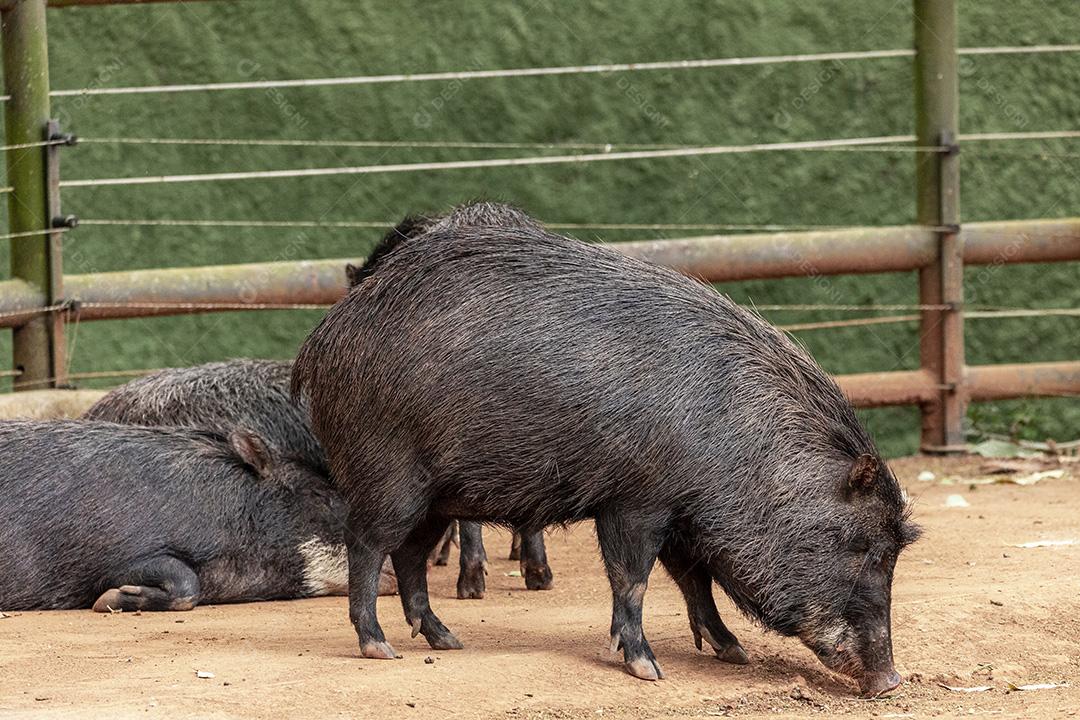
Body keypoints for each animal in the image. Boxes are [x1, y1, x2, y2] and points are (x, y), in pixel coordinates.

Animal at [293, 201, 920, 699]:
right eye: (867, 548)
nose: (891, 682)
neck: (735, 444)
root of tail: (320, 344)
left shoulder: (685, 518)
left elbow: (695, 582)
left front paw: (733, 652)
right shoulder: (637, 501)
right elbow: (633, 579)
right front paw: (649, 670)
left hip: (437, 498)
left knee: (409, 558)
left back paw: (450, 640)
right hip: (390, 476)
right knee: (366, 548)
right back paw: (380, 648)